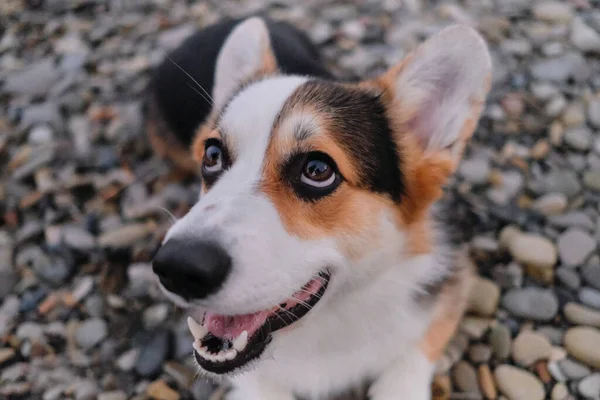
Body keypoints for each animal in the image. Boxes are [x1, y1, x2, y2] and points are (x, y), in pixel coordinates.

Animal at [148, 14, 490, 400]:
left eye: (317, 170)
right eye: (212, 155)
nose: (177, 267)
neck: (330, 322)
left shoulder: (449, 290)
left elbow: (412, 356)